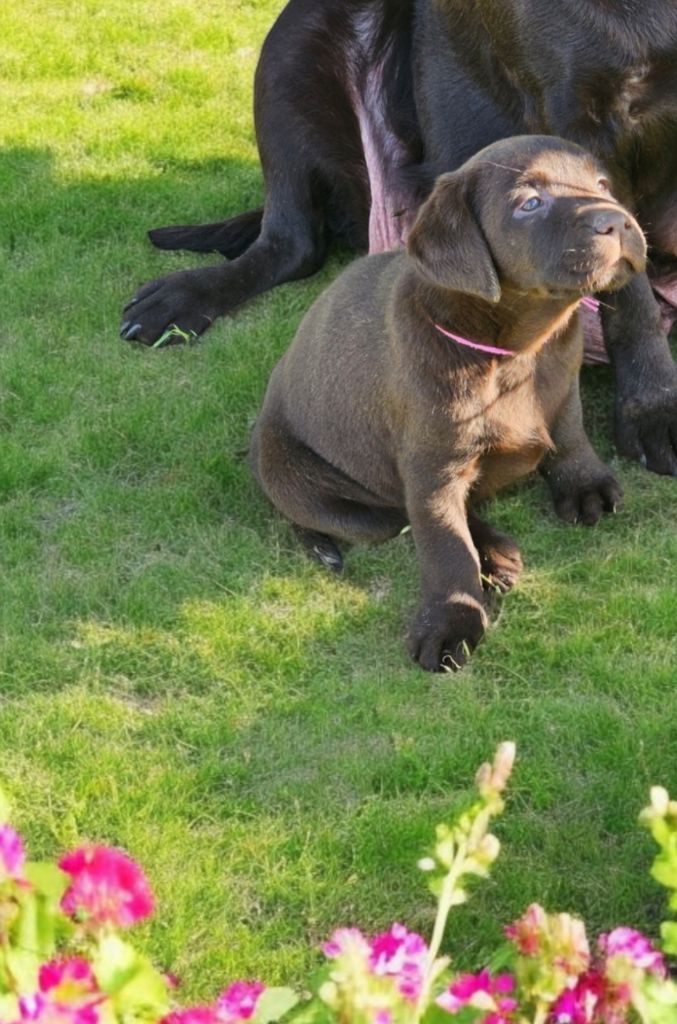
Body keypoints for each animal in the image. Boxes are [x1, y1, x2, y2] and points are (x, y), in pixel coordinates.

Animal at [121, 0, 675, 475]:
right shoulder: (577, 120)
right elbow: (631, 294)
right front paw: (653, 408)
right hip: (294, 45)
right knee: (293, 245)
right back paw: (188, 295)